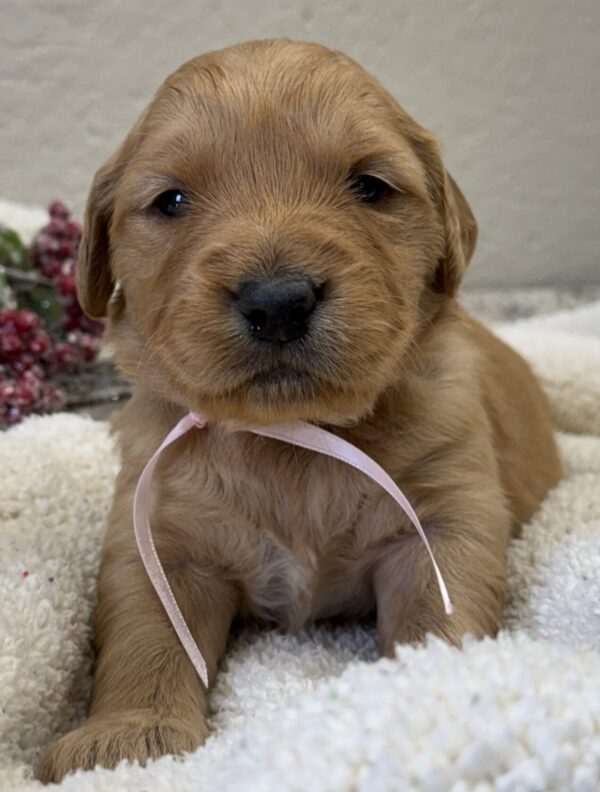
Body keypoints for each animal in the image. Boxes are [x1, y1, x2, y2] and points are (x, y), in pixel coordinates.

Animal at [36, 38, 564, 784]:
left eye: (370, 187)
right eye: (172, 200)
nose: (278, 301)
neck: (290, 440)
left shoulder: (444, 516)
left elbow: (439, 612)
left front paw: (433, 693)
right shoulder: (159, 536)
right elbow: (148, 633)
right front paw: (128, 735)